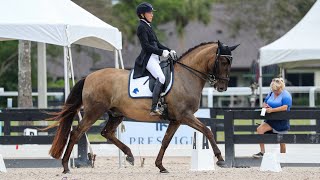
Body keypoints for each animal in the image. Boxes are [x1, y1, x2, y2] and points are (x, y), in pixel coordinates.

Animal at [47, 40, 238, 173]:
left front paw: (160, 166)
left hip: (116, 114)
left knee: (106, 133)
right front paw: (220, 159)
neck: (186, 76)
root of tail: (89, 76)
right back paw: (66, 166)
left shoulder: (176, 119)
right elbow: (207, 131)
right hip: (94, 112)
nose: (222, 87)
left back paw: (130, 156)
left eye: (230, 63)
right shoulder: (185, 115)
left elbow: (166, 141)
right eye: (222, 62)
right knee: (77, 132)